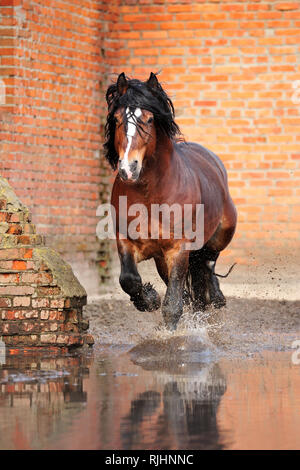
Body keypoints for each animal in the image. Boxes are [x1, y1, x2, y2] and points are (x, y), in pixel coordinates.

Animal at [103, 73, 237, 330]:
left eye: (149, 119)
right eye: (116, 118)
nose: (128, 168)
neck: (150, 195)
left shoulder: (178, 249)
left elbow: (173, 305)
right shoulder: (126, 240)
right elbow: (129, 280)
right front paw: (149, 298)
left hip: (217, 238)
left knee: (207, 267)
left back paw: (216, 297)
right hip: (162, 259)